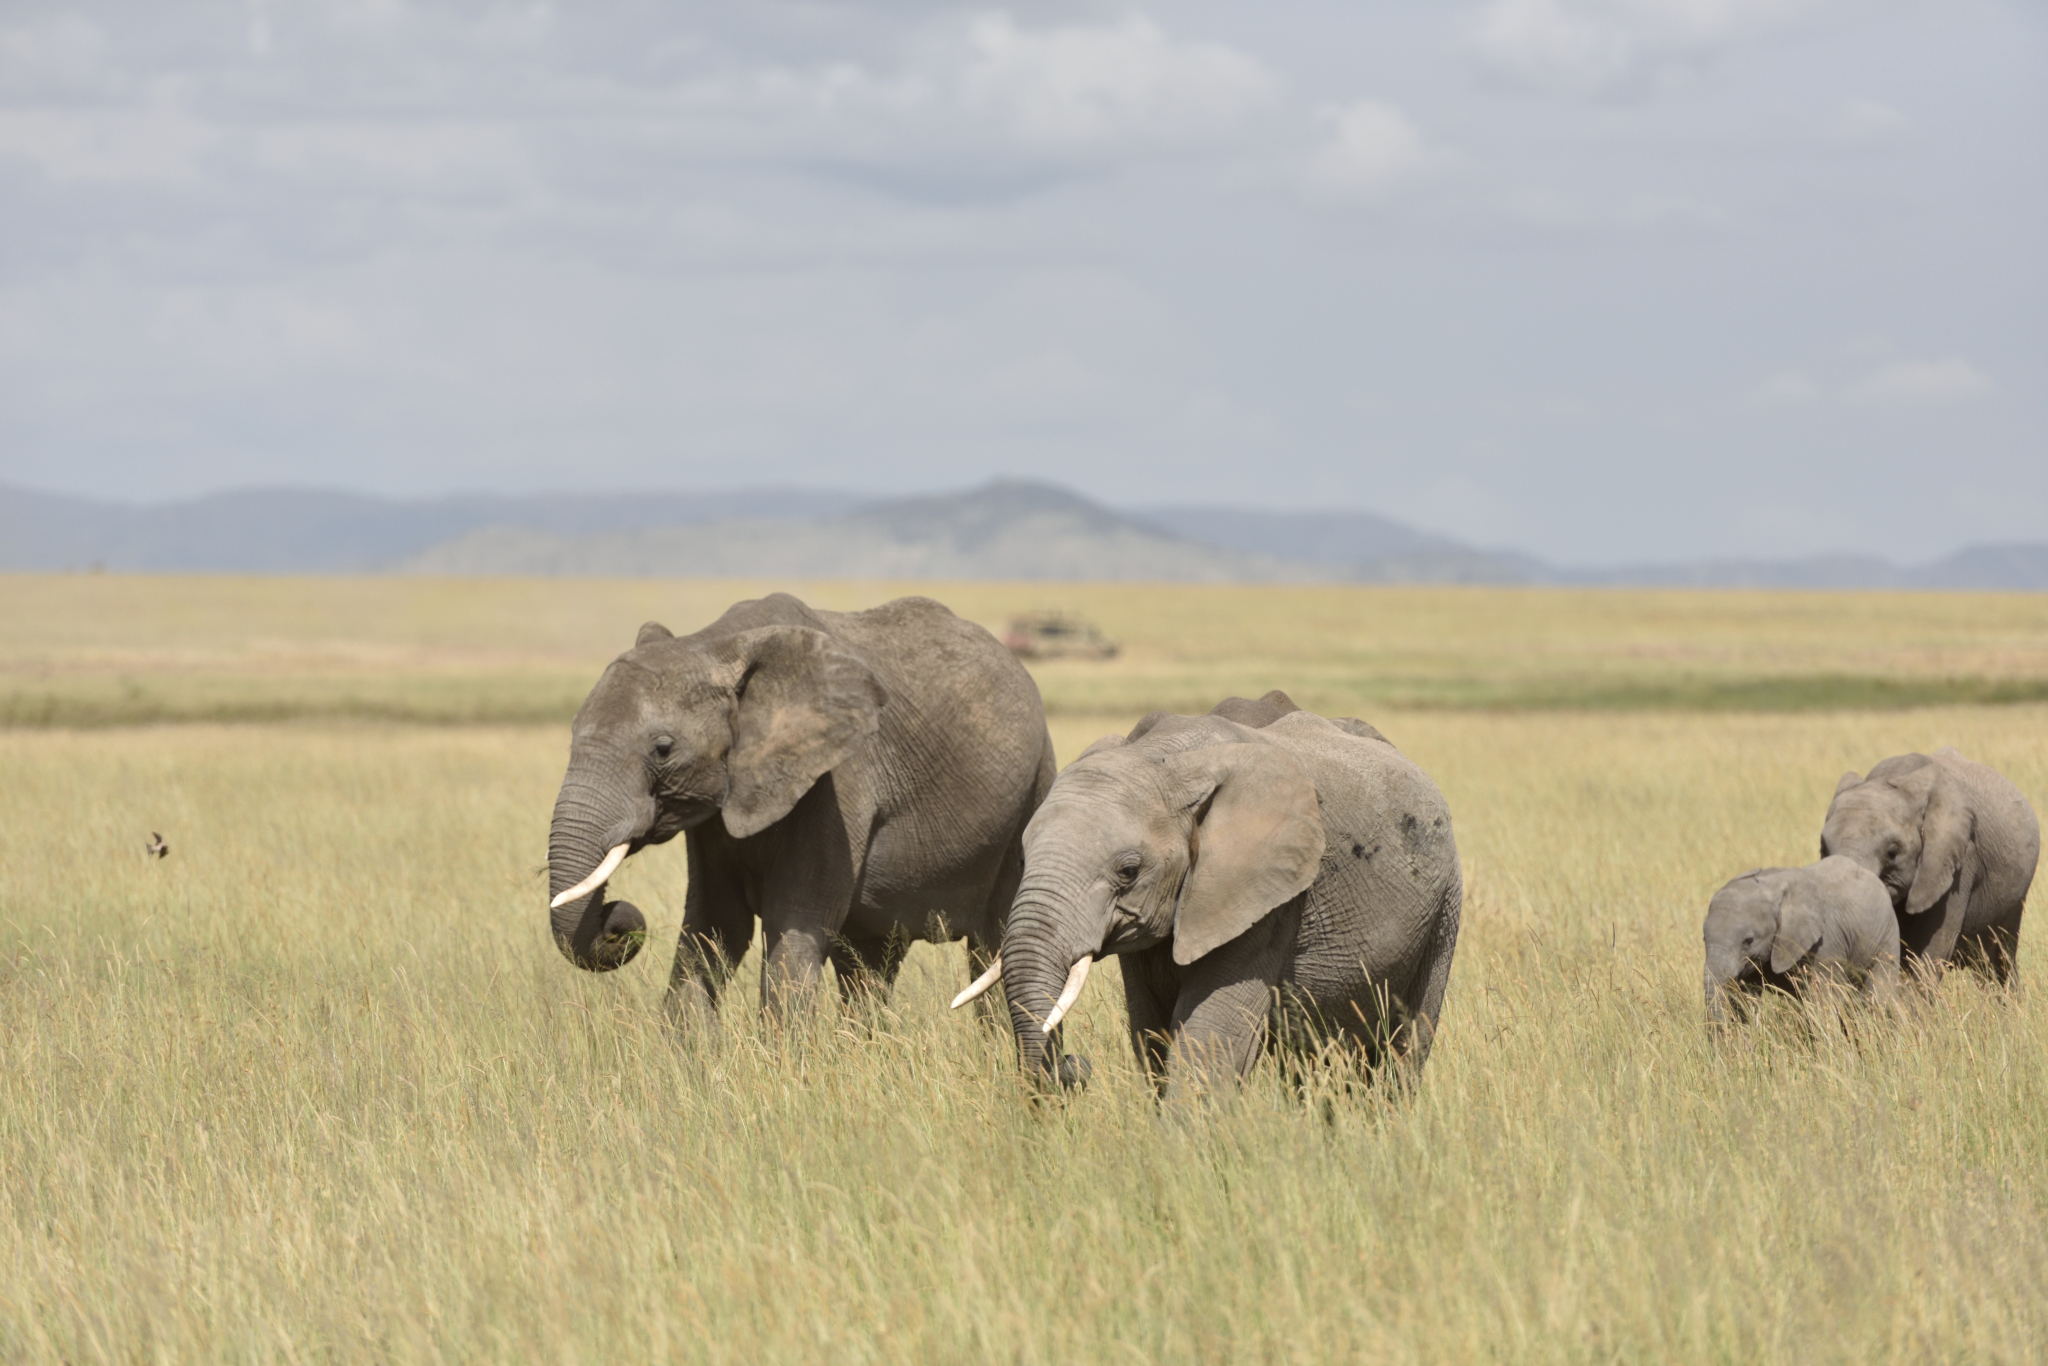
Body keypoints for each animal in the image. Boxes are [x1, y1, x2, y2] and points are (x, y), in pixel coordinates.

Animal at [544, 589, 1056, 1023]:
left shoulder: (837, 780)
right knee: (869, 963)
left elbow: (793, 928)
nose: (617, 921)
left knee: (992, 946)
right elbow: (714, 926)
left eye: (663, 749)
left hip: (1033, 793)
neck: (715, 644)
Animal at [958, 688, 1458, 1105]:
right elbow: (1151, 1033)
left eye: (1128, 872)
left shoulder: (1266, 903)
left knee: (1404, 1047)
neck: (1169, 761)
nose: (1073, 1065)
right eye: (1022, 857)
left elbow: (1211, 1036)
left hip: (1442, 913)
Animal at [1695, 860, 1900, 1019]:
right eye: (1704, 939)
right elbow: (1745, 1003)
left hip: (1887, 936)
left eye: (1749, 941)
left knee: (1877, 994)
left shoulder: (1826, 944)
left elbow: (1823, 1001)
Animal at [1818, 749, 2039, 983]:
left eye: (1892, 852)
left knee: (2000, 957)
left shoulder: (1958, 863)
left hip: (2014, 901)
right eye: (1823, 848)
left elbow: (1931, 950)